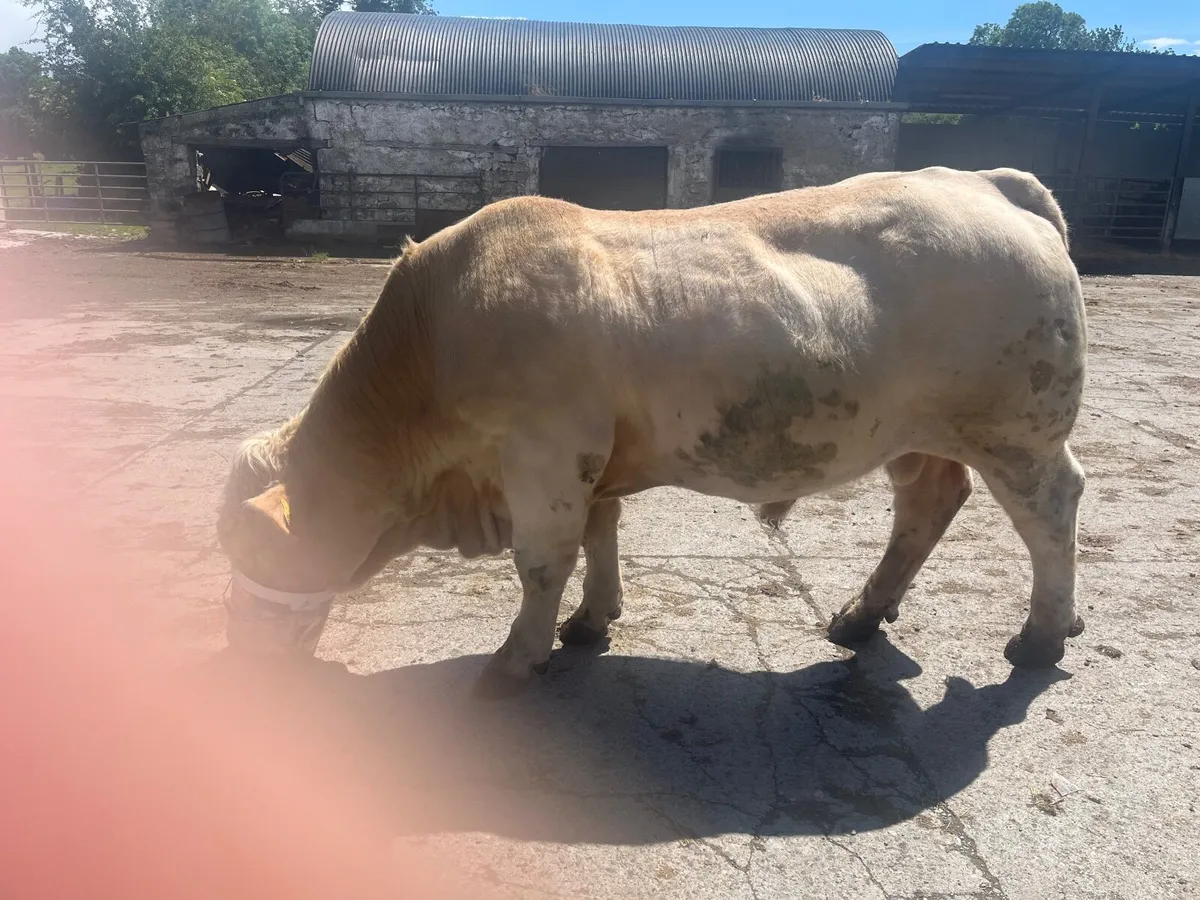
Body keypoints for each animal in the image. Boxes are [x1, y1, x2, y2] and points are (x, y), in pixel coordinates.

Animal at [217, 166, 1088, 698]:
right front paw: (591, 620)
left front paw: (517, 658)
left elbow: (542, 562)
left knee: (1052, 511)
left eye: (254, 553)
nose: (242, 663)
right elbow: (601, 533)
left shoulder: (546, 453)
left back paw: (1041, 635)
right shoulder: (591, 459)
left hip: (1019, 429)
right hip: (917, 432)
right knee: (928, 501)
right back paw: (863, 614)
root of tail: (982, 180)